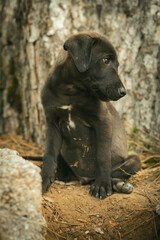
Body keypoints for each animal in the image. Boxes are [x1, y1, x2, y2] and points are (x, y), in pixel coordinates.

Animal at [40, 31, 141, 199]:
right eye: (106, 60)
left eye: (117, 65)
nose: (123, 92)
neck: (70, 90)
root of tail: (84, 178)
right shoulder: (52, 123)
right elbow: (49, 156)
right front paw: (42, 180)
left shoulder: (103, 121)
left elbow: (102, 156)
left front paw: (102, 186)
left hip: (133, 161)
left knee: (114, 172)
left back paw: (117, 184)